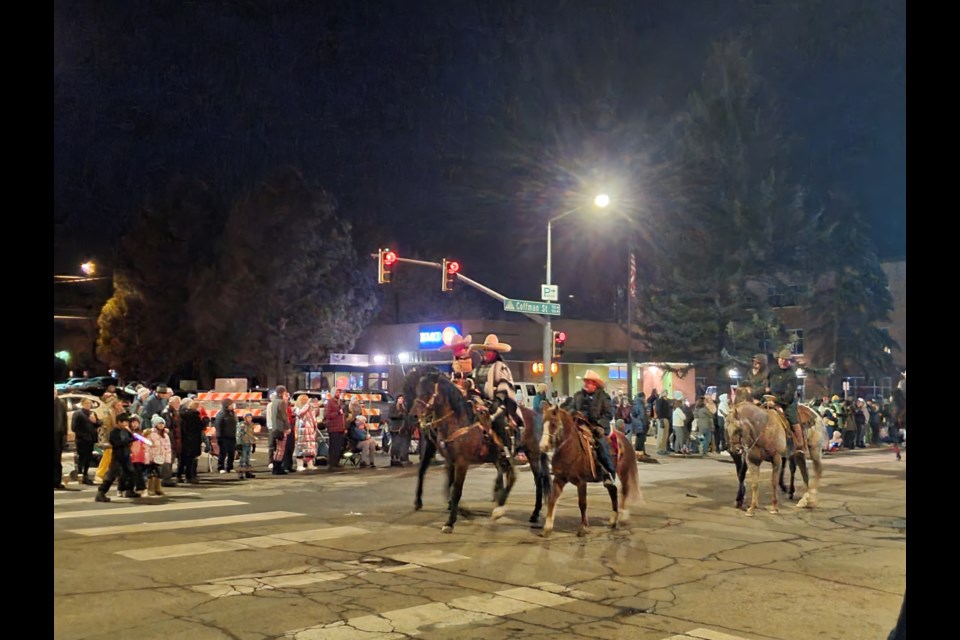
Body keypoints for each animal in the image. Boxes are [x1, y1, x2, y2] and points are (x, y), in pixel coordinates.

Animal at [408, 368, 520, 532]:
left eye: (428, 392)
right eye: (417, 390)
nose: (413, 415)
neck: (458, 422)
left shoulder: (462, 462)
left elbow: (456, 490)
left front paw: (450, 522)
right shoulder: (450, 460)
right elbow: (448, 487)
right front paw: (462, 511)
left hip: (503, 453)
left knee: (511, 475)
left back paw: (499, 508)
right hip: (494, 457)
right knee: (502, 474)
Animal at [536, 404, 640, 536]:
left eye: (553, 424)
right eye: (542, 423)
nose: (542, 446)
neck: (570, 449)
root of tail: (624, 437)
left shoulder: (581, 482)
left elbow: (582, 504)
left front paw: (583, 528)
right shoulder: (559, 479)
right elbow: (552, 500)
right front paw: (547, 528)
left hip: (624, 472)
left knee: (624, 491)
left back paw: (622, 517)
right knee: (613, 490)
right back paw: (613, 519)